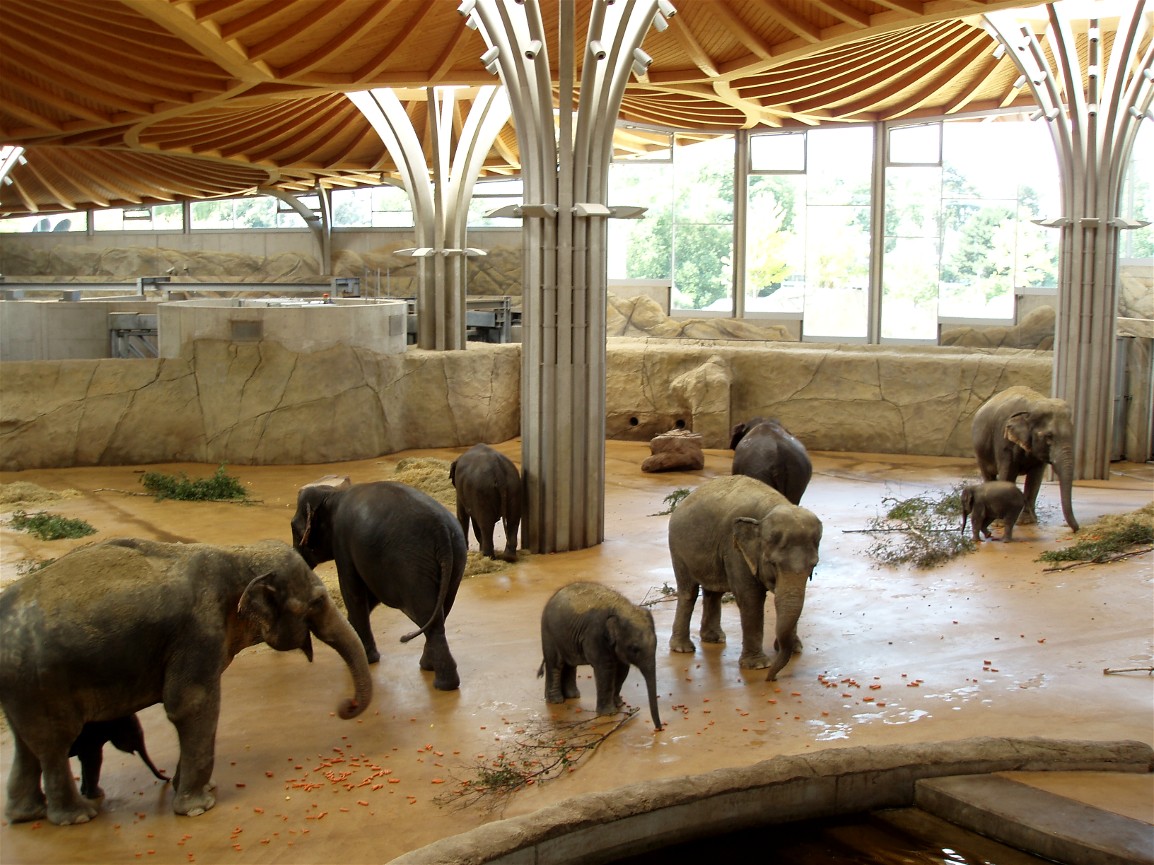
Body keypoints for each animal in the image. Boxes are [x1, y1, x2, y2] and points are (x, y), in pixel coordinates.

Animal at [0, 537, 372, 826]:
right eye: (317, 602)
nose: (346, 706)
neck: (238, 554)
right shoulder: (198, 632)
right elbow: (191, 705)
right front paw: (200, 806)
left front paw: (195, 791)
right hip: (40, 684)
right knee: (54, 743)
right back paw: (77, 816)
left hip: (23, 688)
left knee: (28, 744)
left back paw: (26, 814)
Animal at [291, 480, 466, 691]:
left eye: (294, 529)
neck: (332, 495)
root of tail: (442, 533)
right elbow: (370, 596)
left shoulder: (342, 541)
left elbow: (353, 591)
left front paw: (367, 659)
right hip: (455, 560)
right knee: (439, 614)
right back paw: (429, 667)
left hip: (413, 567)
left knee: (428, 617)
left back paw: (443, 684)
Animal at [537, 581, 663, 731]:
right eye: (634, 649)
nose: (659, 728)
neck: (621, 608)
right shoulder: (596, 635)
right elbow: (605, 669)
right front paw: (609, 713)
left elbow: (622, 670)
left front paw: (619, 704)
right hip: (549, 633)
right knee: (556, 664)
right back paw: (557, 701)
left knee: (569, 664)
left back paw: (572, 696)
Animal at [668, 474, 823, 681]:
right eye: (772, 563)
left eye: (813, 566)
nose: (771, 679)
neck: (770, 509)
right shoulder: (736, 549)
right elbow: (750, 598)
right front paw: (758, 666)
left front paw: (795, 649)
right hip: (678, 548)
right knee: (688, 592)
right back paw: (682, 649)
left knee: (713, 591)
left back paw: (714, 639)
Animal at [972, 385, 1079, 532]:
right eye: (1049, 437)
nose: (1075, 529)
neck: (1033, 406)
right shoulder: (1003, 441)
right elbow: (1008, 474)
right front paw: (1000, 523)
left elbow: (1034, 479)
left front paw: (1027, 522)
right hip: (980, 451)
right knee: (989, 476)